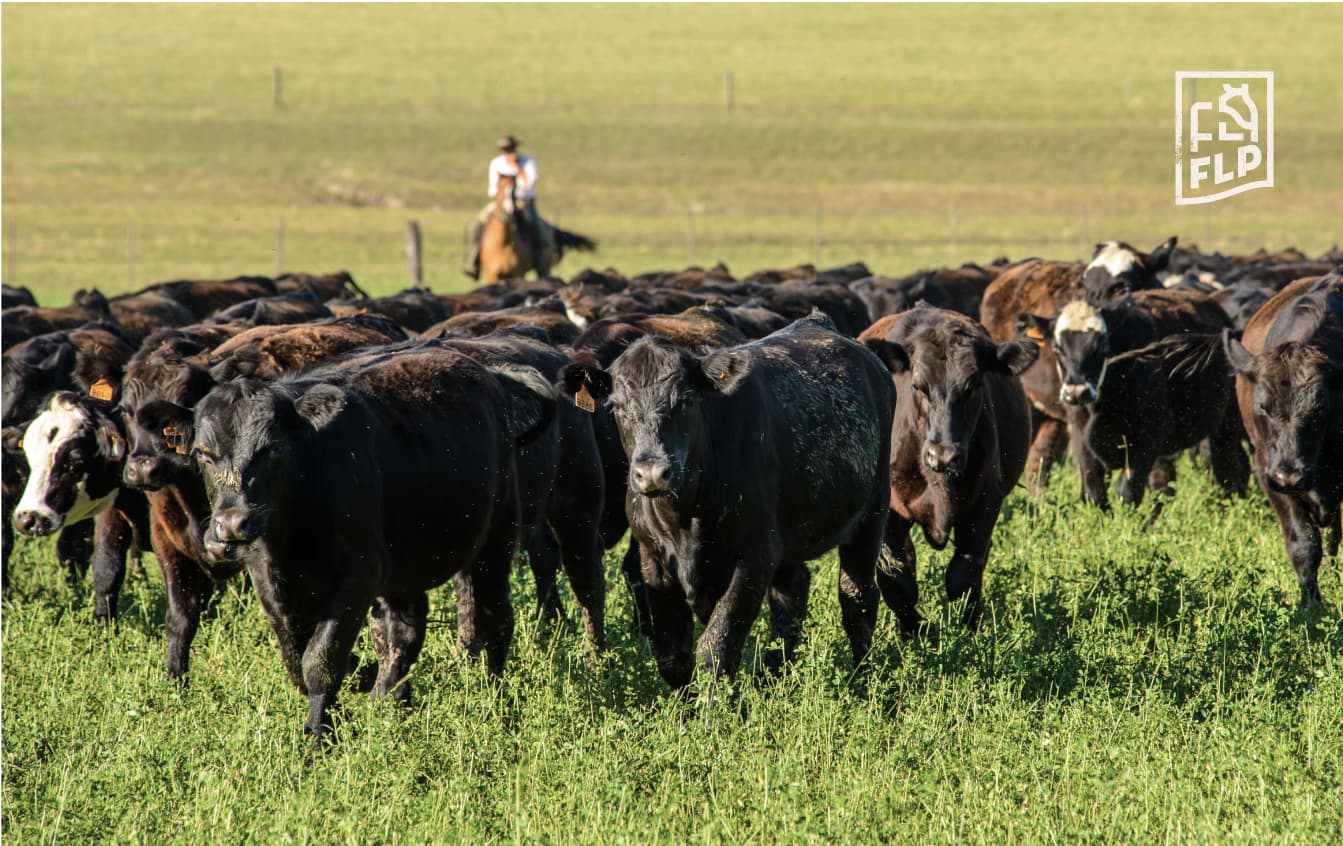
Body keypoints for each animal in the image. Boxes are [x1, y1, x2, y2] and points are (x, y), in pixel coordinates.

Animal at [192, 349, 553, 741]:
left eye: (272, 448)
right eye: (203, 454)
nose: (232, 523)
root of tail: (491, 376)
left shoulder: (358, 575)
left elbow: (321, 658)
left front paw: (319, 735)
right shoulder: (269, 582)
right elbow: (296, 657)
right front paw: (354, 688)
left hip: (495, 543)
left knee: (494, 618)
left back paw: (495, 697)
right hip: (404, 572)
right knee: (403, 633)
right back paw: (390, 701)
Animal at [556, 315, 891, 692]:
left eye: (685, 402)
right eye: (617, 407)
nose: (653, 473)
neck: (685, 517)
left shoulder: (754, 557)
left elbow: (716, 645)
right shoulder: (651, 559)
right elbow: (672, 654)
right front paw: (683, 706)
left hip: (872, 512)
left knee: (857, 598)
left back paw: (861, 679)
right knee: (791, 595)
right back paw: (773, 677)